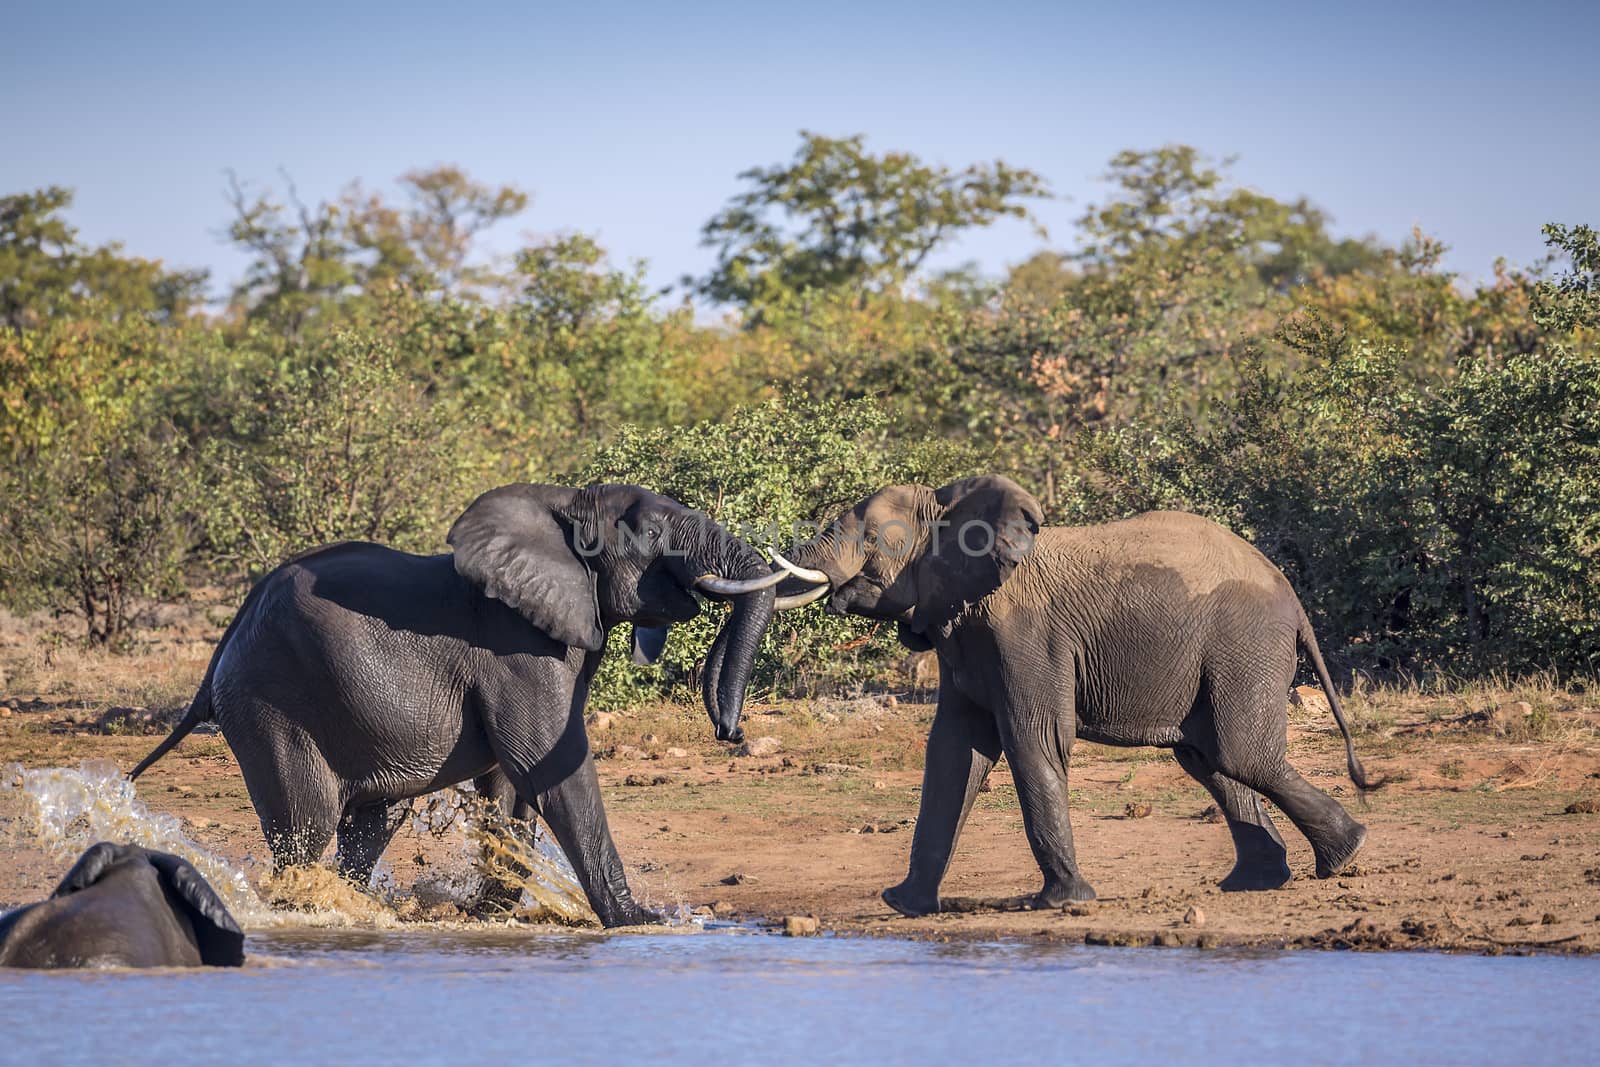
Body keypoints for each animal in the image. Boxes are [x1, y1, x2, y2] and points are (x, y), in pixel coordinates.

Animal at [131, 483, 800, 927]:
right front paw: (642, 921)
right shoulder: (515, 647)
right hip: (270, 702)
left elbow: (514, 784)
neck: (562, 509)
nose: (728, 730)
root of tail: (222, 648)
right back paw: (305, 906)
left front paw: (487, 912)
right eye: (655, 534)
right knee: (308, 824)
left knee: (370, 821)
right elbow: (551, 769)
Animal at [771, 476, 1376, 921]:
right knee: (1208, 759)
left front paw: (1060, 903)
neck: (954, 510)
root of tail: (1292, 598)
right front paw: (903, 904)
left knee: (1238, 754)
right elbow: (952, 752)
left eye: (872, 540)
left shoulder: (1024, 632)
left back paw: (1345, 853)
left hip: (1243, 643)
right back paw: (1264, 879)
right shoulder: (962, 630)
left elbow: (1032, 738)